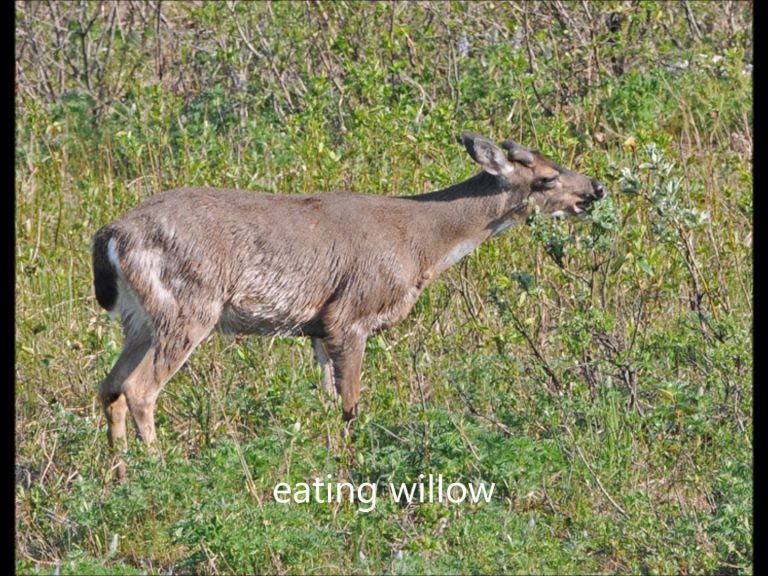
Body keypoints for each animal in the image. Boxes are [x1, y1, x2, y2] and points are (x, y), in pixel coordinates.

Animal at [92, 131, 606, 465]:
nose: (595, 188)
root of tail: (112, 234)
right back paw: (161, 469)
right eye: (546, 178)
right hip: (188, 307)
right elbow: (350, 406)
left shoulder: (318, 329)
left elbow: (325, 401)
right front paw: (353, 465)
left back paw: (119, 473)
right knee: (139, 389)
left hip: (139, 319)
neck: (422, 244)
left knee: (109, 386)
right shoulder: (350, 314)